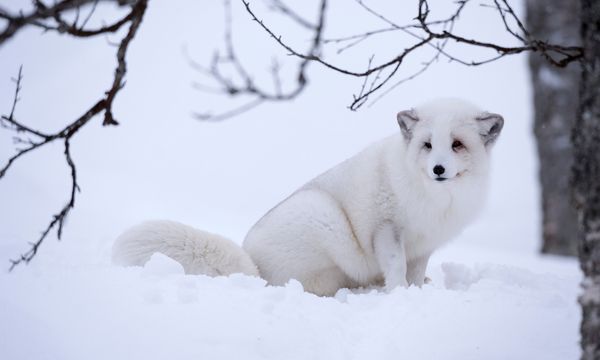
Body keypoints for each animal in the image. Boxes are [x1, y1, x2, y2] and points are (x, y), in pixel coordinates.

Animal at [111, 97, 502, 296]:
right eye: (428, 144)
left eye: (456, 144)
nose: (438, 168)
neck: (435, 197)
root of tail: (253, 270)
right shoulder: (387, 229)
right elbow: (396, 268)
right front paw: (399, 296)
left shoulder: (424, 244)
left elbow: (416, 272)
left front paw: (417, 291)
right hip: (321, 214)